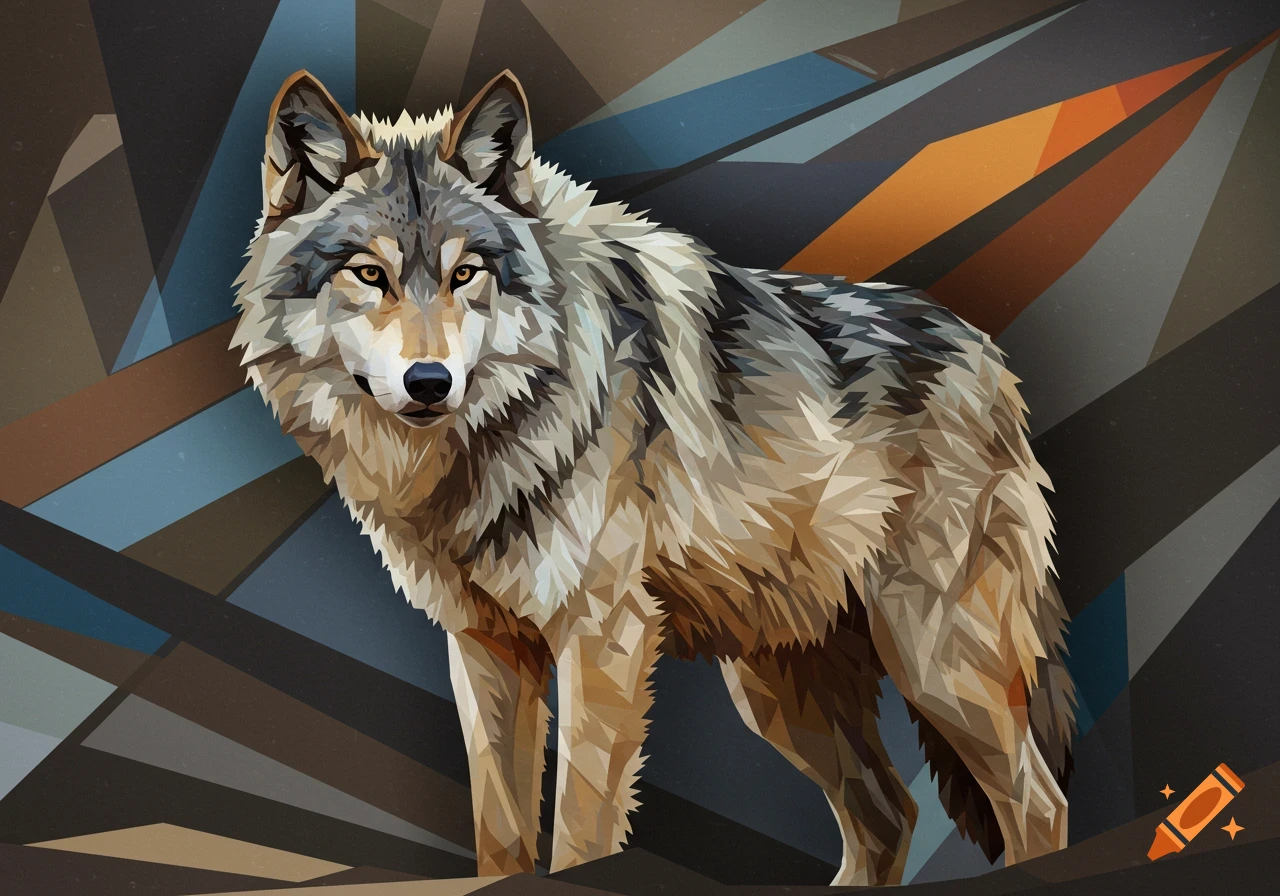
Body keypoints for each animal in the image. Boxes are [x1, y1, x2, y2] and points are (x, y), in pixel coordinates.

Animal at [232, 69, 1075, 886]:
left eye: (466, 273)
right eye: (368, 274)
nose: (430, 382)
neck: (486, 443)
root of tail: (990, 357)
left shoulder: (606, 634)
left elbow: (579, 829)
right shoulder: (484, 647)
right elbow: (499, 835)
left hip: (934, 659)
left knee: (1038, 804)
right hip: (779, 687)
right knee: (889, 815)